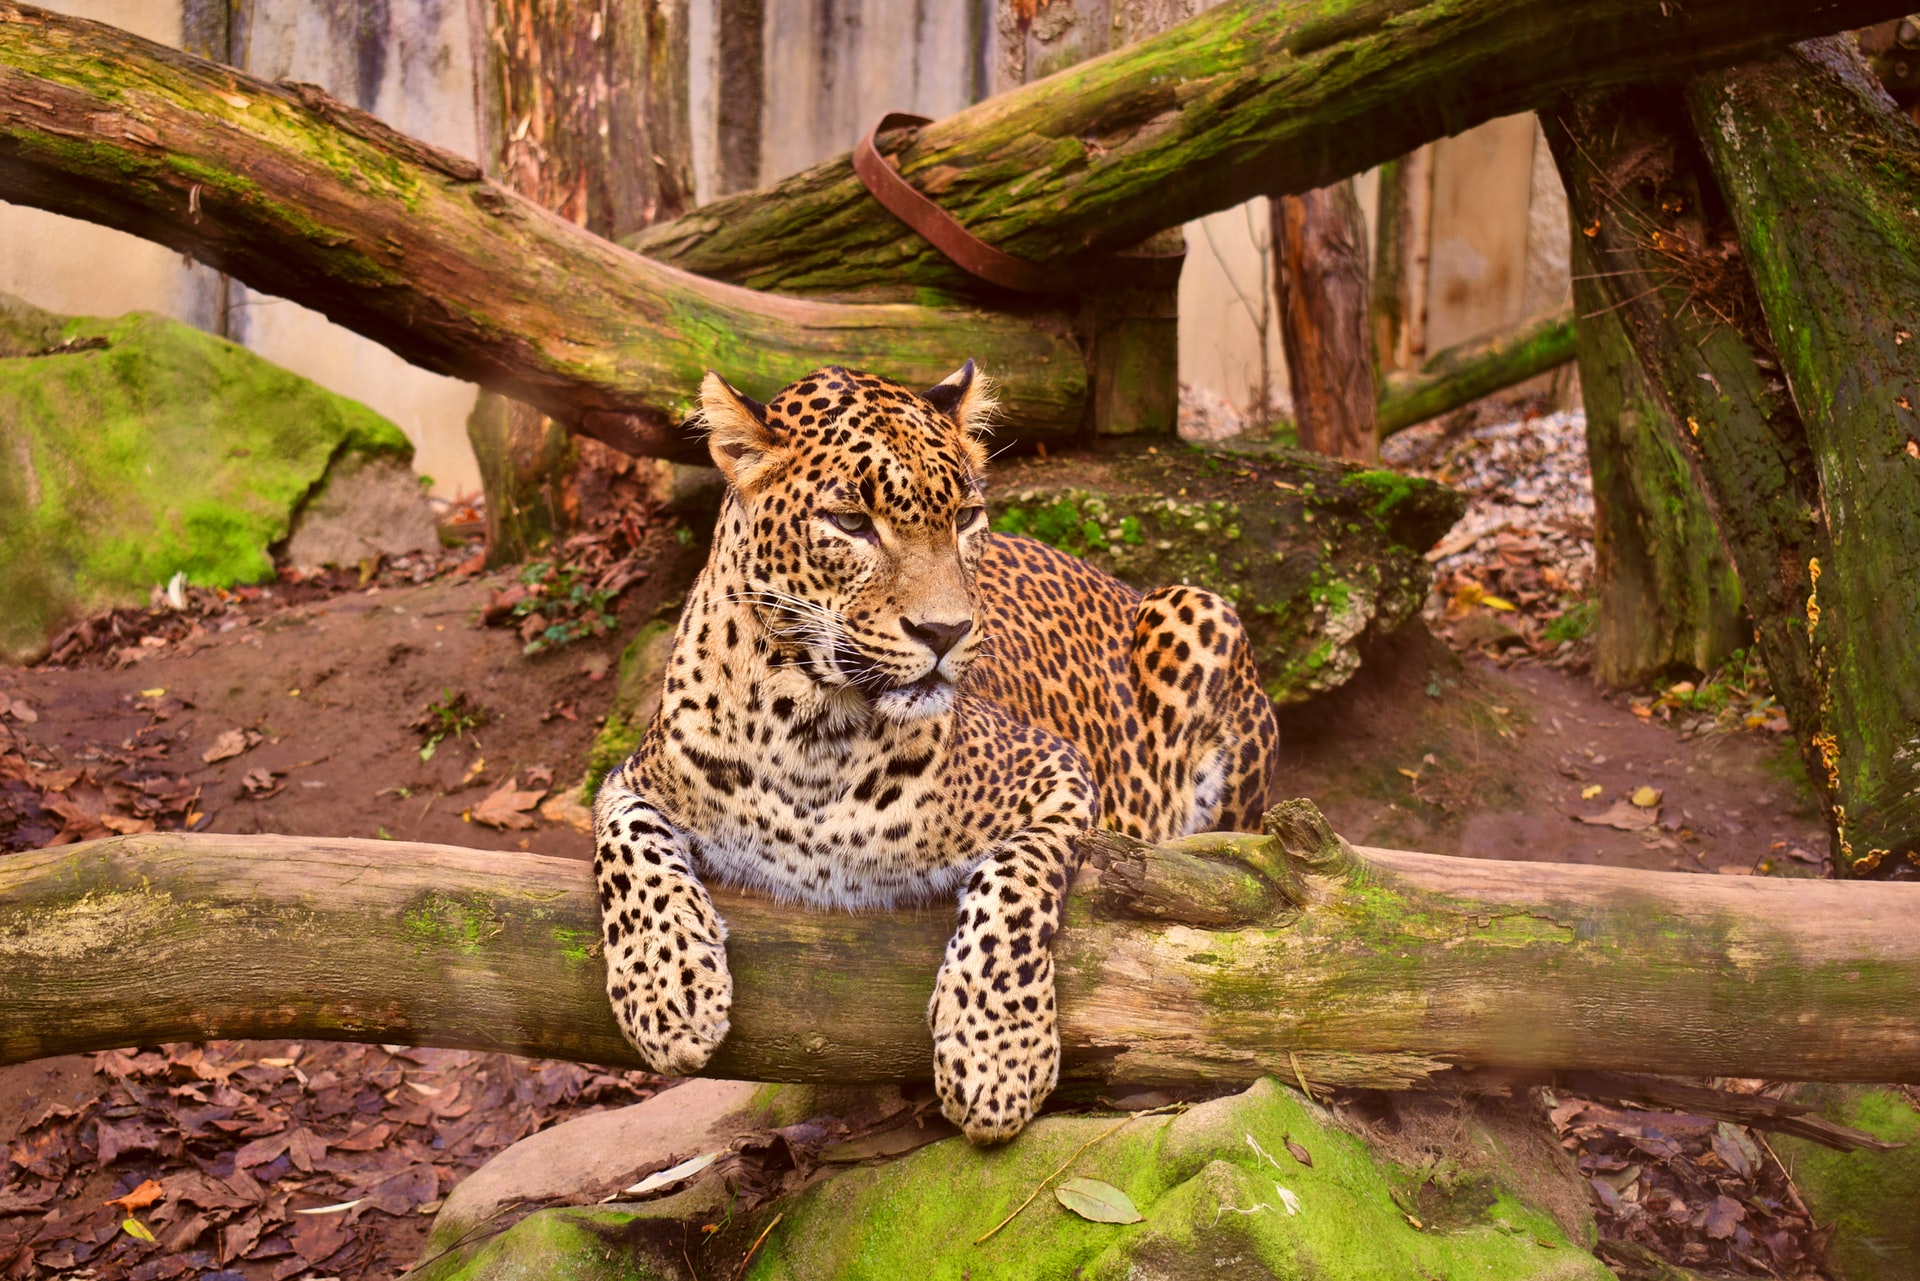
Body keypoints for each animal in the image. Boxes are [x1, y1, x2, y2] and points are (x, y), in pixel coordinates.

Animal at [583, 359, 1274, 1144]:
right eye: (852, 522)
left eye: (966, 517)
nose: (946, 631)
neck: (809, 730)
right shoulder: (634, 776)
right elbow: (628, 846)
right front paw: (667, 990)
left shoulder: (1057, 770)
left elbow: (1012, 886)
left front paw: (997, 1057)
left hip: (1197, 611)